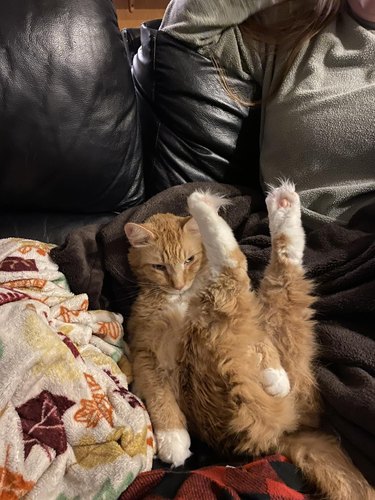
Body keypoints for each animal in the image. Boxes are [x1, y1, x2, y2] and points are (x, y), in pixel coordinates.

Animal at [125, 183, 374, 500]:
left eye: (188, 260)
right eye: (159, 266)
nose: (178, 284)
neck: (182, 298)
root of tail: (289, 434)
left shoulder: (249, 319)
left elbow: (261, 342)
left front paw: (274, 374)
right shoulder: (145, 351)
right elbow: (160, 399)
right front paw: (174, 440)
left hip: (238, 324)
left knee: (246, 271)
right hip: (234, 342)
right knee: (258, 270)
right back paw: (253, 206)